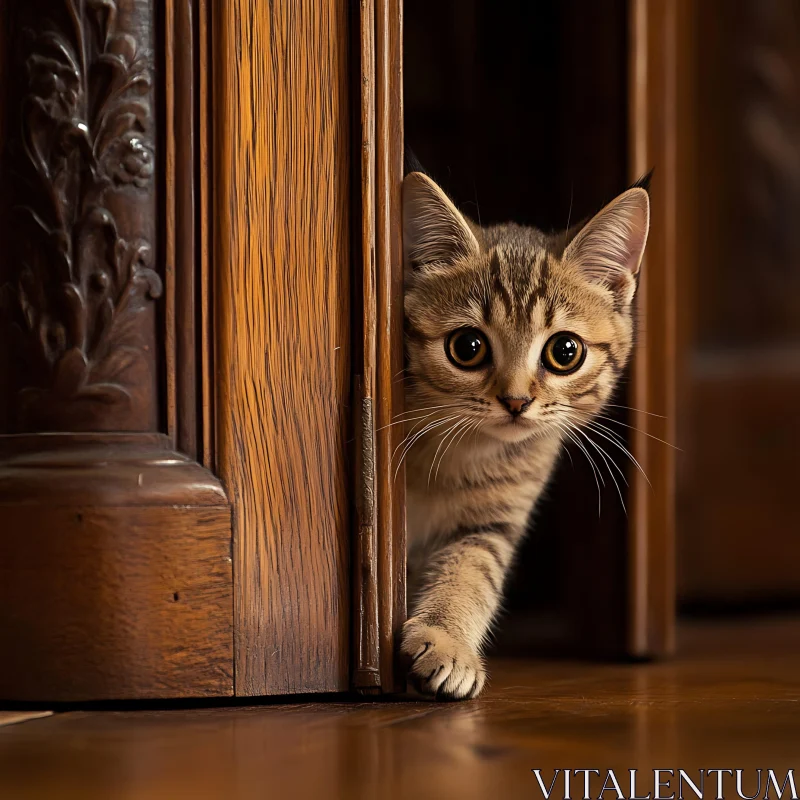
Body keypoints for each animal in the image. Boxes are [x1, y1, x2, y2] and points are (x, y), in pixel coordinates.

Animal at [400, 170, 648, 700]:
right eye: (467, 347)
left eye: (565, 352)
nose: (515, 401)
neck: (461, 454)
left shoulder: (491, 522)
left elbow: (472, 572)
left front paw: (446, 638)